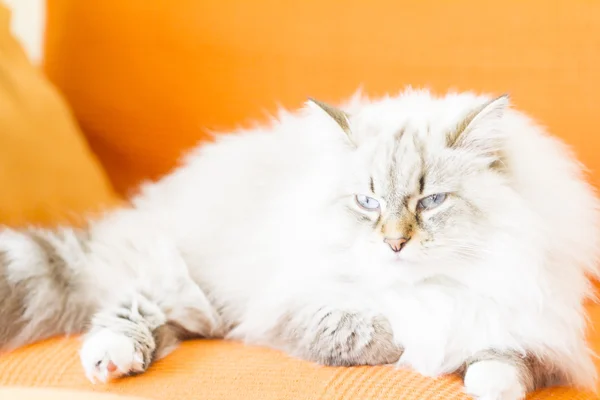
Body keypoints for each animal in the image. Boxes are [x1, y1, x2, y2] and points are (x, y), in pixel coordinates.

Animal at [0, 88, 596, 400]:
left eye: (430, 202)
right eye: (367, 202)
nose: (395, 245)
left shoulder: (537, 327)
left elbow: (502, 365)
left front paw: (482, 379)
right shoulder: (294, 306)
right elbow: (369, 333)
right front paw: (407, 345)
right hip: (188, 279)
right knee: (129, 307)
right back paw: (111, 361)